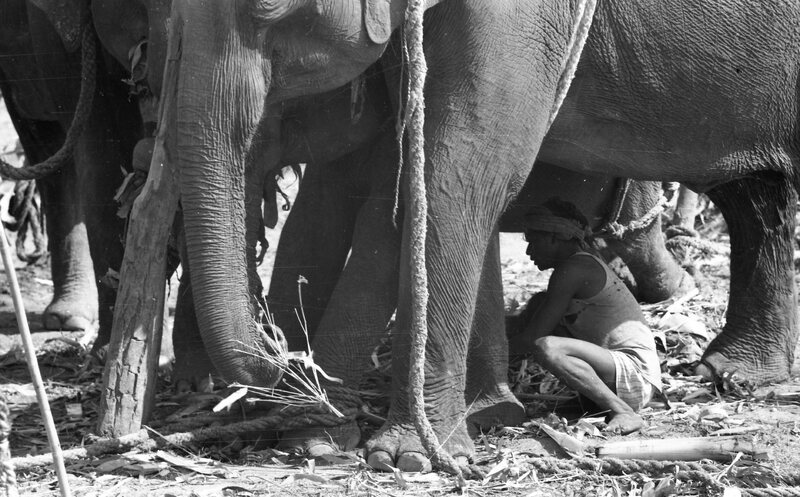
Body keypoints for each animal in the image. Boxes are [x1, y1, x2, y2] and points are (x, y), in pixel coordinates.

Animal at [138, 0, 800, 472]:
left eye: (268, 3)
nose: (278, 354)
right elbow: (385, 171)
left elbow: (455, 167)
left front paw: (398, 453)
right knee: (756, 196)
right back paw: (734, 372)